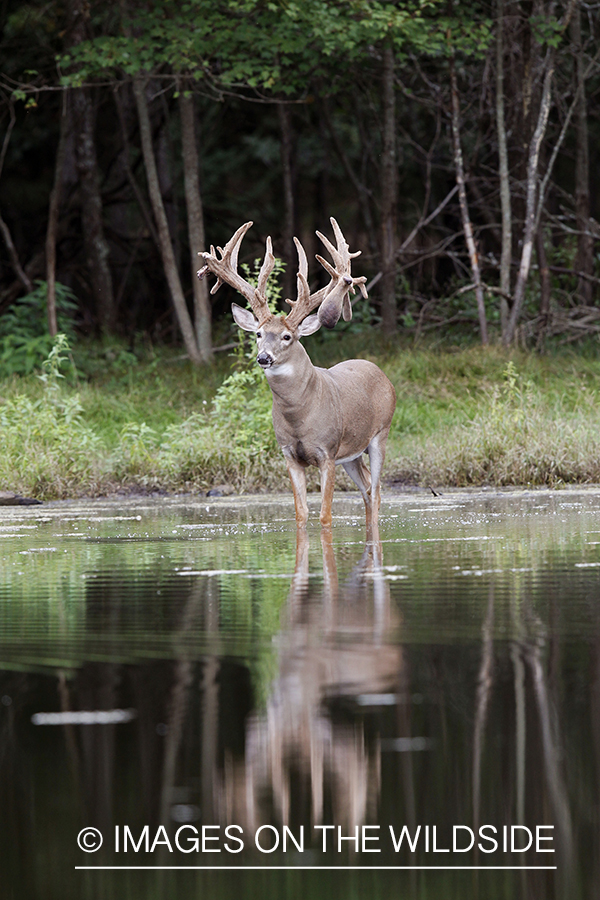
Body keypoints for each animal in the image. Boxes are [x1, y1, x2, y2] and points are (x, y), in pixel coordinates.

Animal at [199, 220, 398, 536]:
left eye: (287, 336)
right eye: (258, 333)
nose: (264, 357)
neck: (299, 417)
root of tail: (380, 373)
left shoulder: (327, 452)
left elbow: (325, 516)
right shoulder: (290, 455)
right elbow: (301, 514)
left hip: (381, 433)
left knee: (377, 490)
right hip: (352, 454)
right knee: (367, 488)